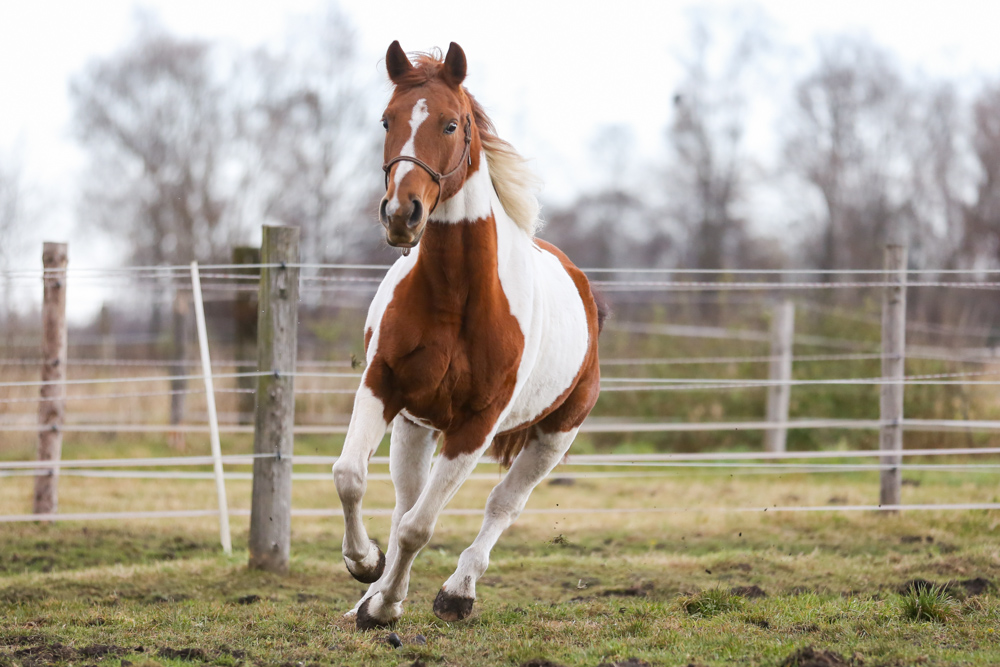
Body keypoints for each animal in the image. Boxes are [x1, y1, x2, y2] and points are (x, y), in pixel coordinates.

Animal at [332, 41, 604, 632]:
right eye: (386, 119)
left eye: (451, 123)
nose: (401, 214)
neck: (455, 296)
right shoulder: (383, 386)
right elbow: (351, 477)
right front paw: (367, 571)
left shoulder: (477, 424)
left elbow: (422, 525)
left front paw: (388, 604)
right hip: (416, 424)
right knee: (405, 499)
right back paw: (375, 595)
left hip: (554, 436)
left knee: (501, 505)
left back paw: (457, 592)